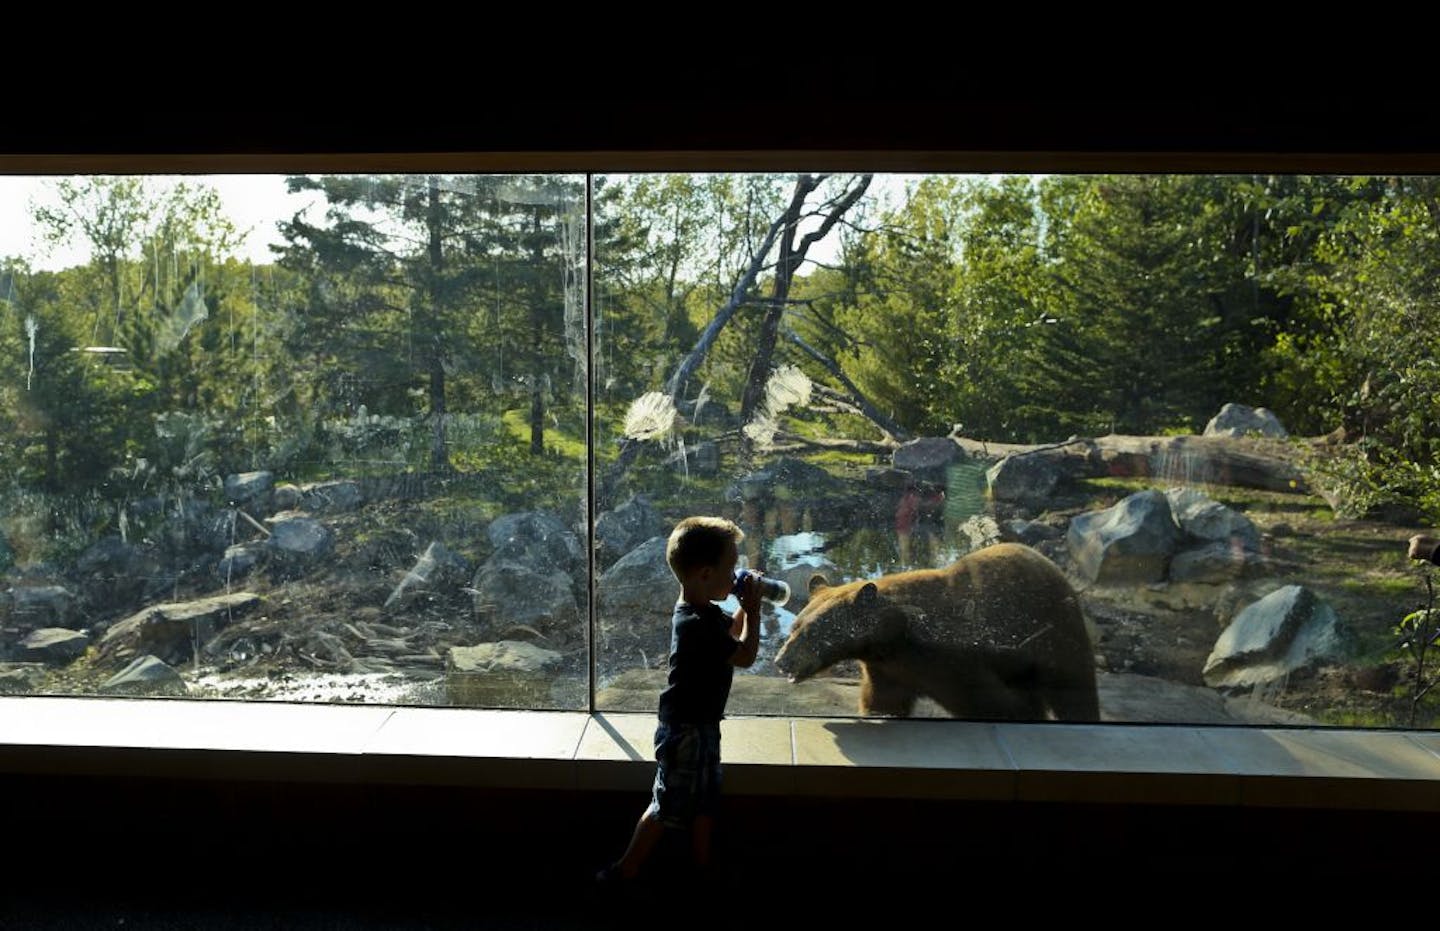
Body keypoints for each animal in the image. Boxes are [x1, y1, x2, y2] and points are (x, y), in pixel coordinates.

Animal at [777, 543, 1100, 725]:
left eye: (812, 632)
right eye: (794, 628)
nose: (781, 661)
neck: (896, 639)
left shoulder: (954, 661)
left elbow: (991, 701)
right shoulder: (888, 669)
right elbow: (882, 702)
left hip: (1055, 630)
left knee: (1074, 686)